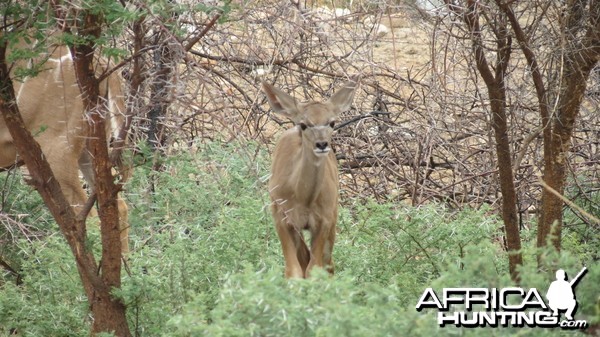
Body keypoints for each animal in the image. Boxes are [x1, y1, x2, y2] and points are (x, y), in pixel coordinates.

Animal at [262, 79, 356, 278]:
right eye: (304, 124)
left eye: (332, 122)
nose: (321, 144)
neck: (303, 198)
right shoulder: (282, 219)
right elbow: (294, 271)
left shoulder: (323, 221)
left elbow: (314, 269)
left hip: (333, 217)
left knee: (327, 264)